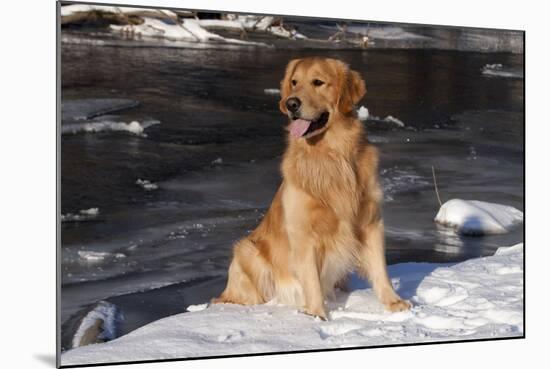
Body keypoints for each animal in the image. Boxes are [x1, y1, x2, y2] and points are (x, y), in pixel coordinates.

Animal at [213, 57, 412, 320]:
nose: (291, 103)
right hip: (248, 251)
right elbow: (312, 280)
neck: (330, 155)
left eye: (318, 82)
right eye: (294, 82)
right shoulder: (303, 233)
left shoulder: (370, 222)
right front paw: (317, 315)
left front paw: (394, 302)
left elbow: (381, 268)